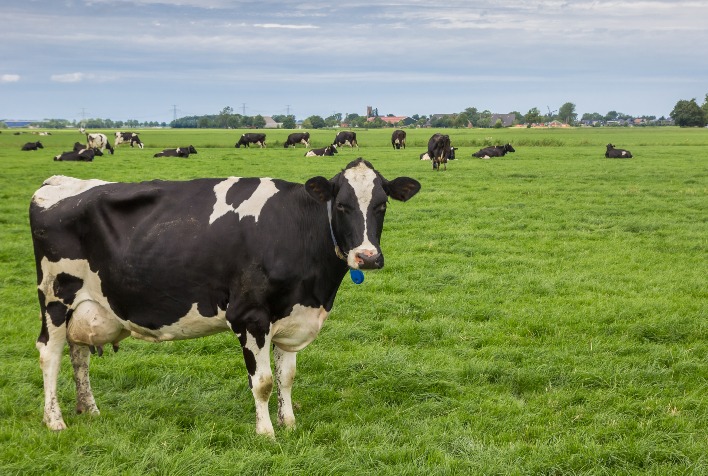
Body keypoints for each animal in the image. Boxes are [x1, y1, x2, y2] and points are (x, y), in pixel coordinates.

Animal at [29, 158, 420, 436]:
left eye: (382, 205)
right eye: (341, 205)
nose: (367, 257)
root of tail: (58, 182)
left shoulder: (292, 316)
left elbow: (287, 378)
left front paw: (289, 424)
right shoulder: (249, 316)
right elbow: (262, 382)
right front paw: (266, 433)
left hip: (85, 306)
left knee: (79, 353)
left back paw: (89, 410)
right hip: (55, 297)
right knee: (50, 352)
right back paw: (54, 420)